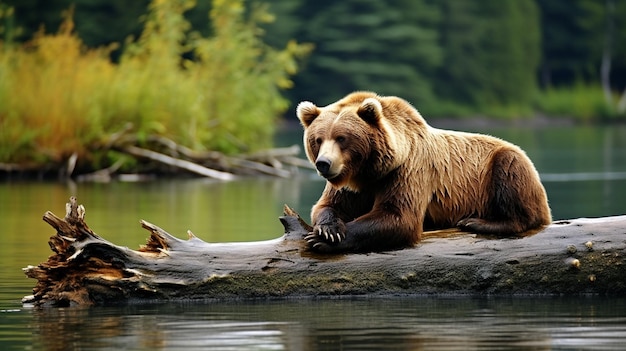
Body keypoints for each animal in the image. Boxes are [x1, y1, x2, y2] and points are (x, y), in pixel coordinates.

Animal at [294, 92, 548, 254]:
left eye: (342, 138)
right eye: (318, 139)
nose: (324, 163)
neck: (370, 171)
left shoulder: (409, 170)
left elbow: (398, 216)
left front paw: (323, 240)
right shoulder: (353, 186)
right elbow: (328, 205)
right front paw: (328, 230)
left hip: (504, 167)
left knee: (512, 177)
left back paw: (475, 222)